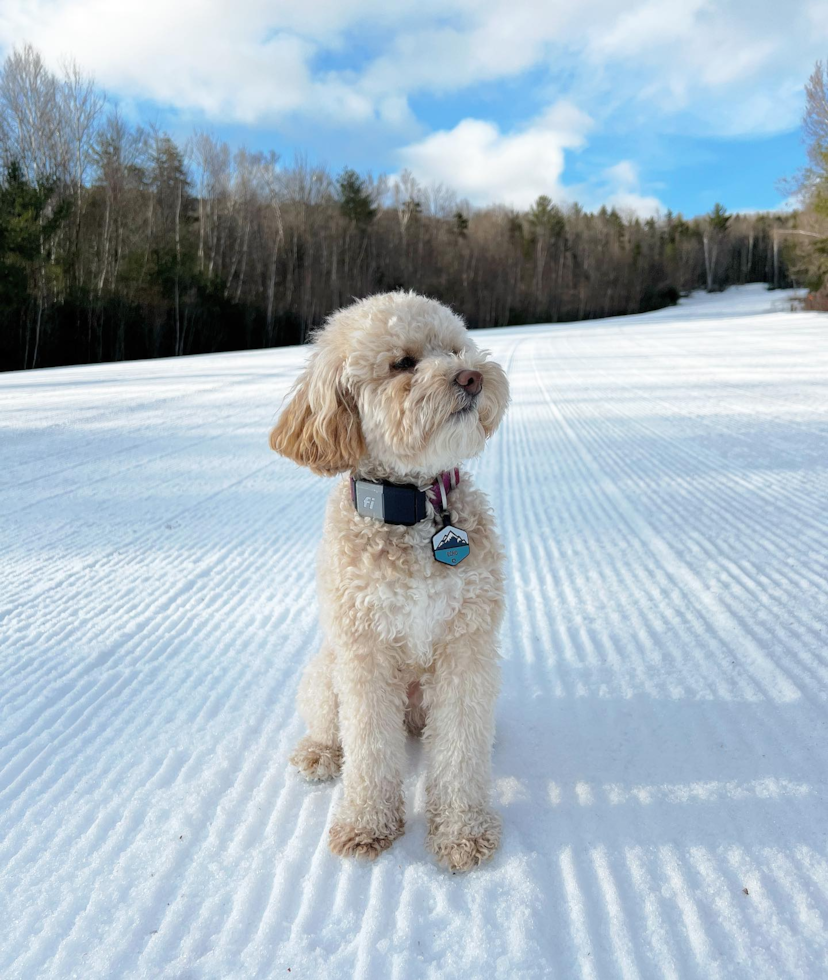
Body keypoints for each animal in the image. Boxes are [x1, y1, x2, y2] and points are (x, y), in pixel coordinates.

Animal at [268, 290, 508, 872]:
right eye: (402, 363)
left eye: (455, 348)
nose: (472, 377)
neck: (416, 509)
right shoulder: (364, 655)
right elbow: (370, 749)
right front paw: (366, 824)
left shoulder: (465, 648)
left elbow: (460, 748)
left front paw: (463, 832)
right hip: (324, 672)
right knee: (331, 728)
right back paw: (320, 752)